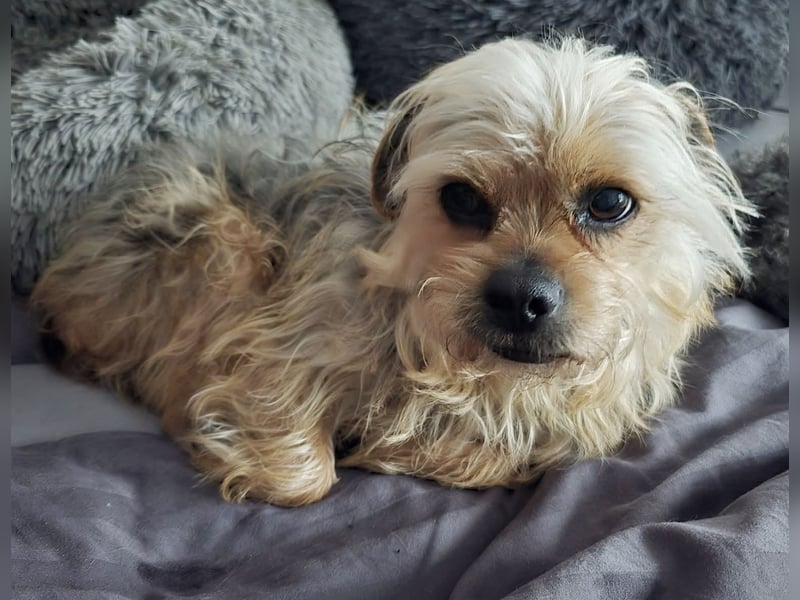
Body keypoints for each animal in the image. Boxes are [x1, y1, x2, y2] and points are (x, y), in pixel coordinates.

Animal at [30, 37, 754, 506]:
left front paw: (406, 446)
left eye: (608, 203)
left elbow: (504, 454)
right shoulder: (273, 349)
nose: (520, 298)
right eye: (461, 199)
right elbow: (297, 476)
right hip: (211, 235)